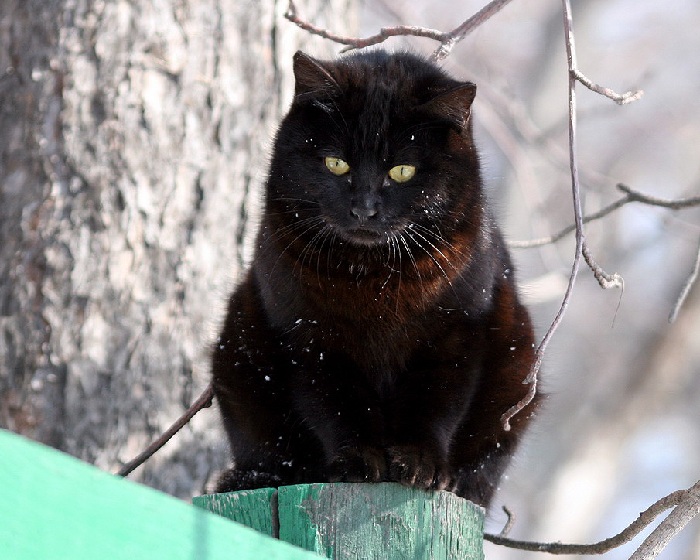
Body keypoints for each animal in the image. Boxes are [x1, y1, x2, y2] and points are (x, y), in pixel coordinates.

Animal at [211, 51, 540, 508]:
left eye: (402, 171)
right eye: (336, 163)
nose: (364, 209)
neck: (372, 277)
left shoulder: (454, 335)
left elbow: (435, 406)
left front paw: (420, 465)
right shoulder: (311, 339)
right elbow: (336, 407)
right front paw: (359, 462)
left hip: (518, 357)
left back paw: (461, 486)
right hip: (239, 339)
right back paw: (257, 477)